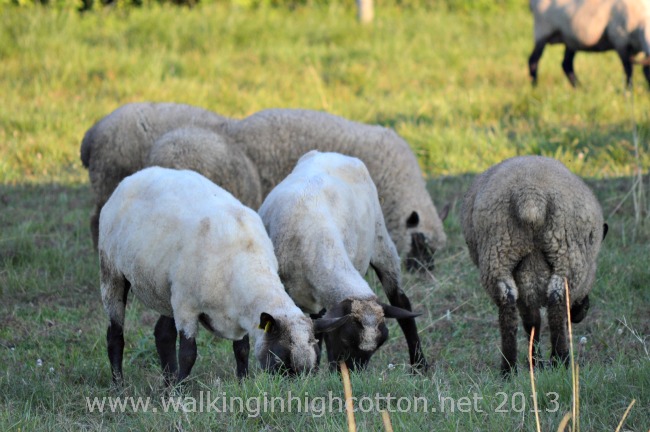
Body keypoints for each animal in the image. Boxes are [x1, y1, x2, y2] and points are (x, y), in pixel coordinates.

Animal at [99, 166, 323, 384]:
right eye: (281, 357)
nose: (294, 388)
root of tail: (132, 177)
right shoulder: (186, 306)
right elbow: (188, 354)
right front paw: (180, 390)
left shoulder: (236, 313)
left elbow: (242, 350)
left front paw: (242, 384)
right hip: (111, 272)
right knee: (115, 334)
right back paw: (119, 385)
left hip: (167, 290)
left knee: (163, 334)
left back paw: (167, 384)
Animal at [258, 151, 428, 372]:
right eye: (345, 339)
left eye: (379, 344)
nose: (355, 373)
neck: (316, 241)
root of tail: (332, 154)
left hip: (380, 238)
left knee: (401, 302)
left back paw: (420, 365)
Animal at [461, 155, 607, 376]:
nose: (582, 312)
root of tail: (531, 196)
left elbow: (532, 322)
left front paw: (534, 362)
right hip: (566, 255)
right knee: (557, 305)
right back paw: (560, 361)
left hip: (499, 255)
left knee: (508, 309)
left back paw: (509, 369)